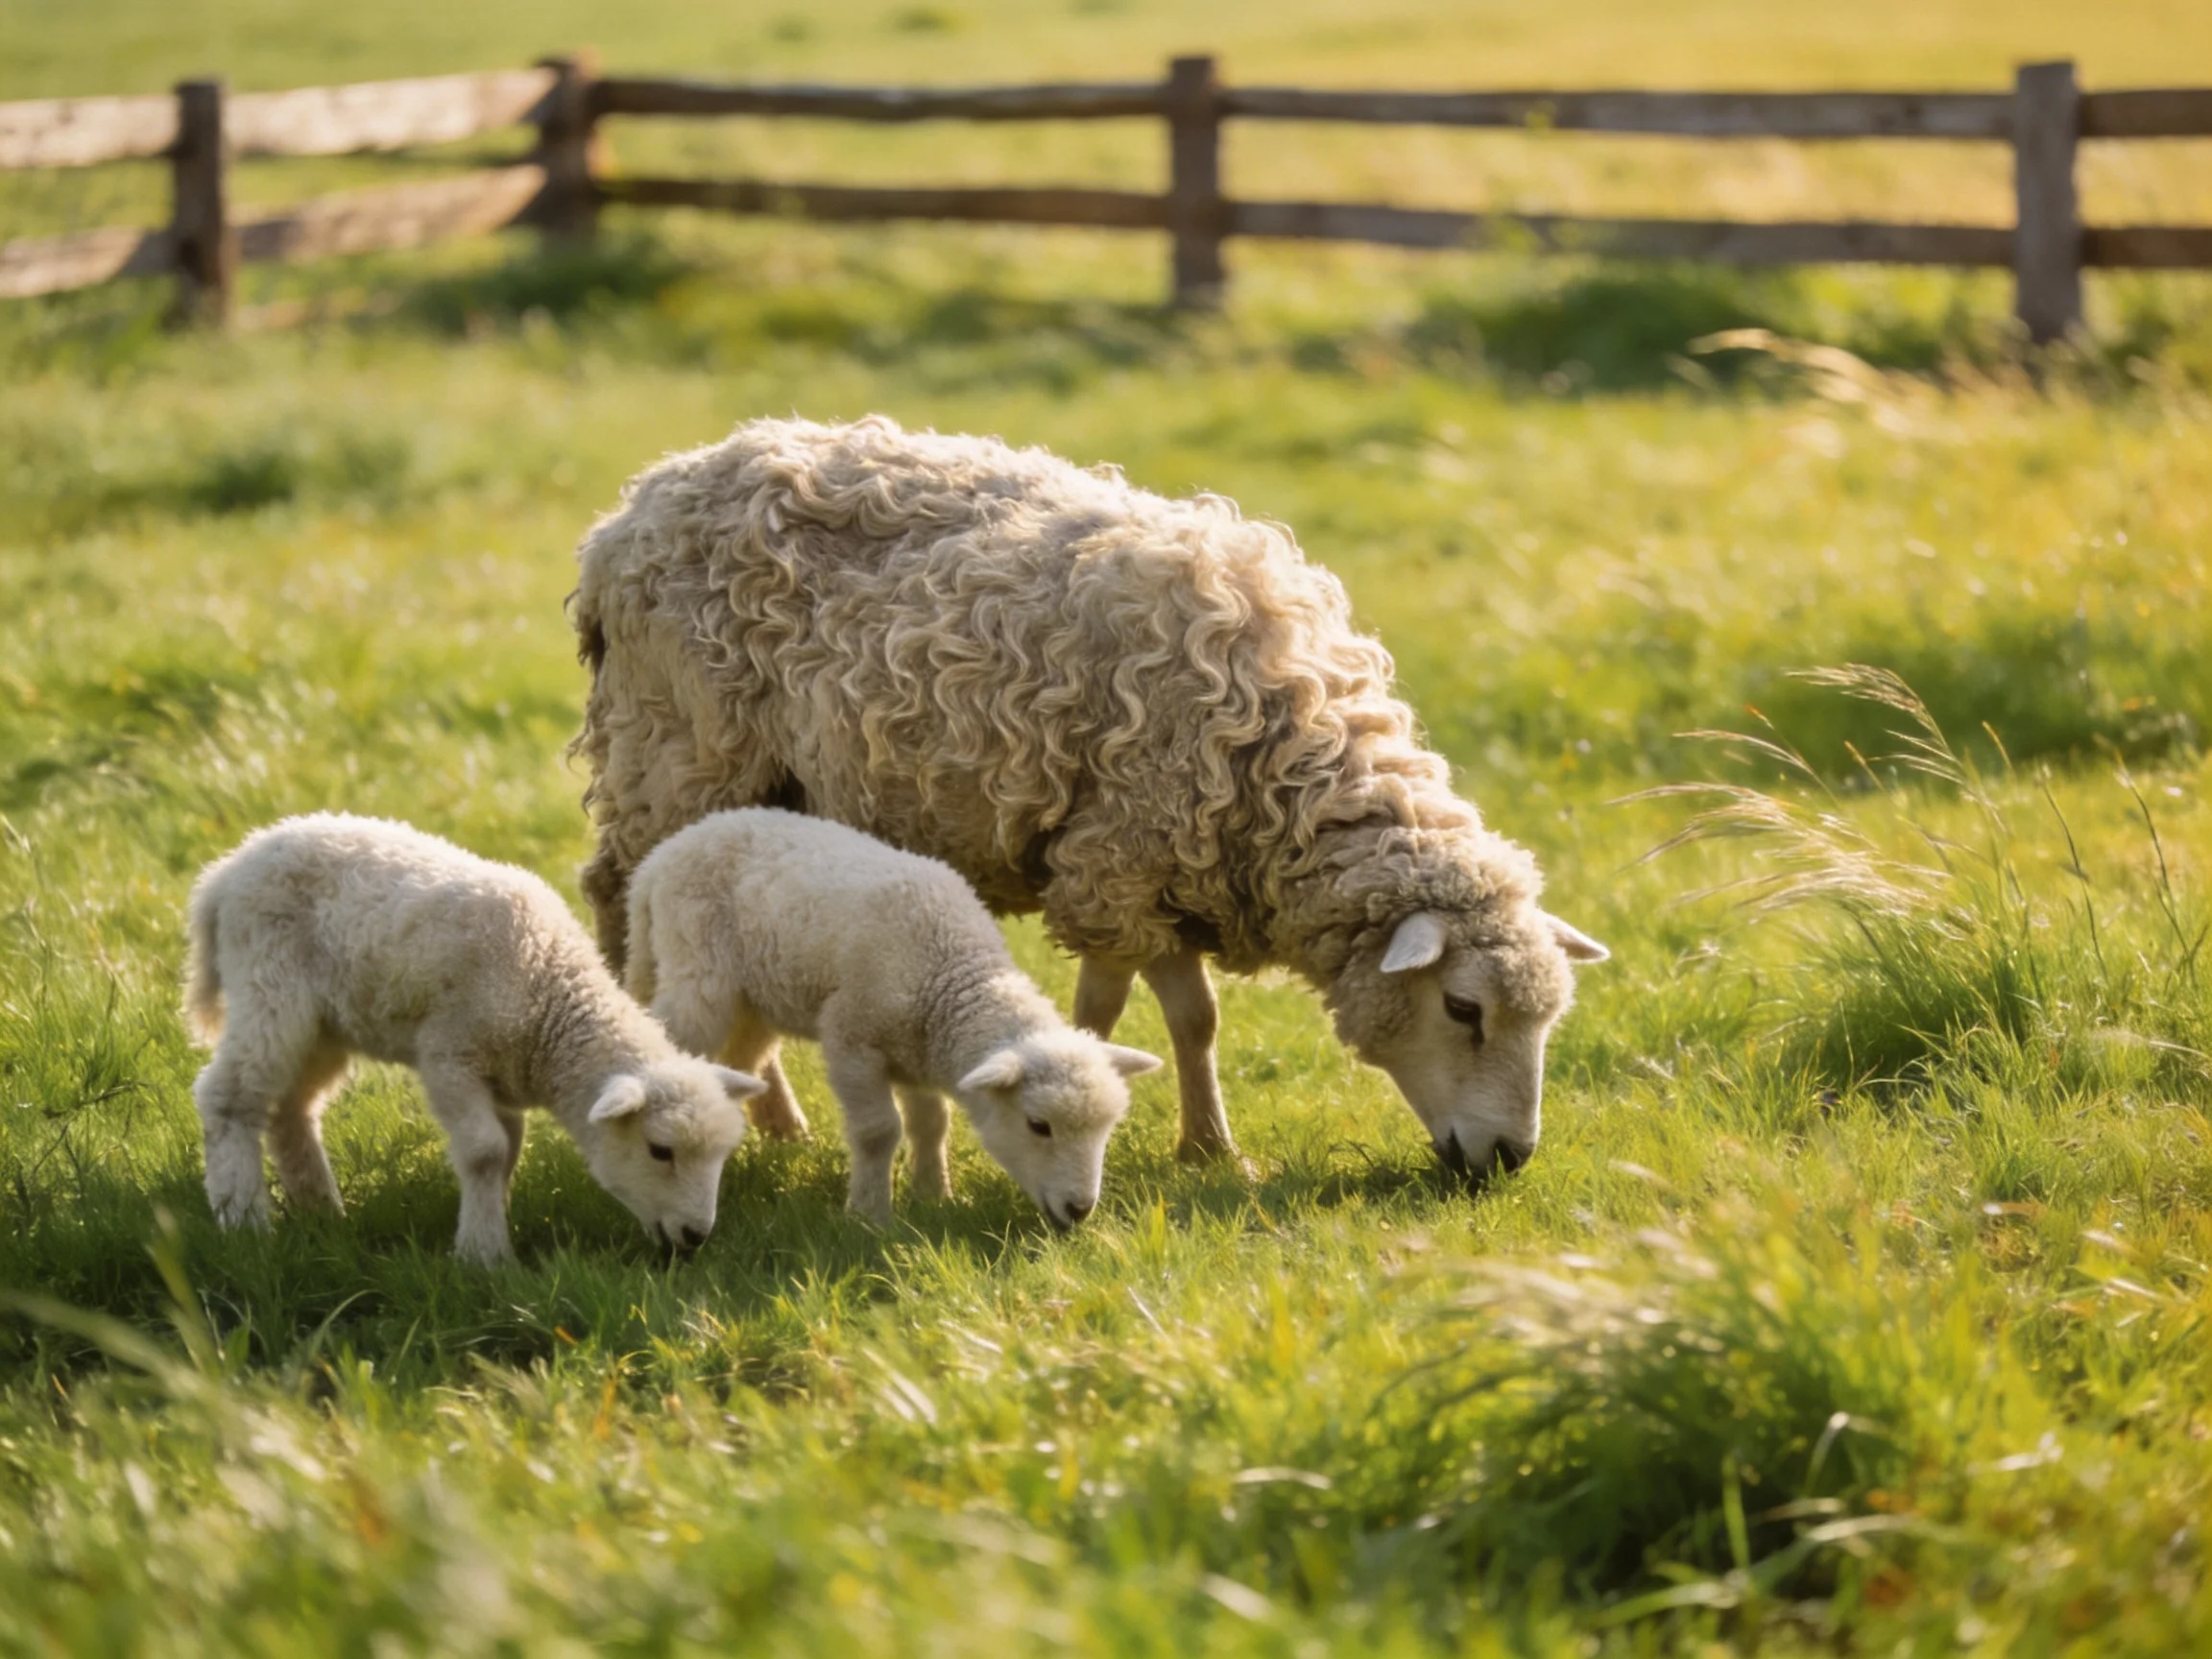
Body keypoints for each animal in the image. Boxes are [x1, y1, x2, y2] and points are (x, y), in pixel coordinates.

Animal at [183, 813, 763, 1265]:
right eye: (659, 1150)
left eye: (720, 1155)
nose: (695, 1235)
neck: (548, 996)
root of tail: (227, 870)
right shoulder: (450, 1054)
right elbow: (486, 1151)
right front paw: (484, 1255)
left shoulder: (502, 1074)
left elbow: (508, 1151)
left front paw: (487, 1224)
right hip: (269, 987)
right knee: (229, 1096)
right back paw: (243, 1218)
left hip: (324, 1024)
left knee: (291, 1108)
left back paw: (321, 1208)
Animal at [626, 808, 1161, 1228]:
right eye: (1039, 1125)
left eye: (1106, 1129)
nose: (1080, 1210)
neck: (949, 970)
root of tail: (664, 855)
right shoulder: (851, 1037)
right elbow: (879, 1132)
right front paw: (870, 1215)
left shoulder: (917, 1050)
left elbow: (931, 1123)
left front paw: (934, 1195)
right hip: (698, 972)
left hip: (754, 998)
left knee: (742, 1056)